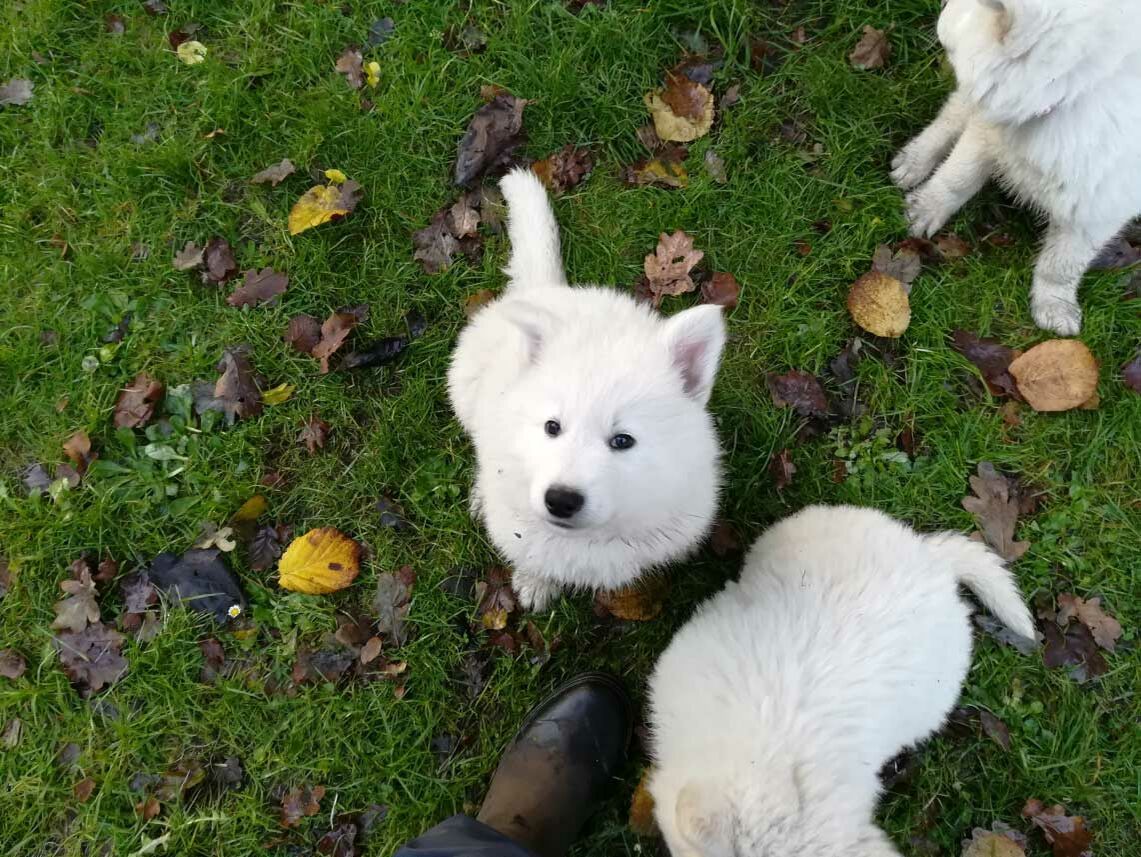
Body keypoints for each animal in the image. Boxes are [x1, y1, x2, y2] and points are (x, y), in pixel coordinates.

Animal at [442, 168, 721, 611]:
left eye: (623, 440)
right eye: (552, 427)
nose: (561, 500)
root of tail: (547, 289)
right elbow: (532, 552)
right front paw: (535, 582)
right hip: (465, 386)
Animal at [889, 0, 1141, 335]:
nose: (941, 11)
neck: (1079, 89)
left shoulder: (1099, 206)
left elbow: (1062, 263)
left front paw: (1054, 304)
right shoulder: (990, 135)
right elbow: (956, 179)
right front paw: (921, 210)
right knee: (956, 109)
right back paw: (915, 159)